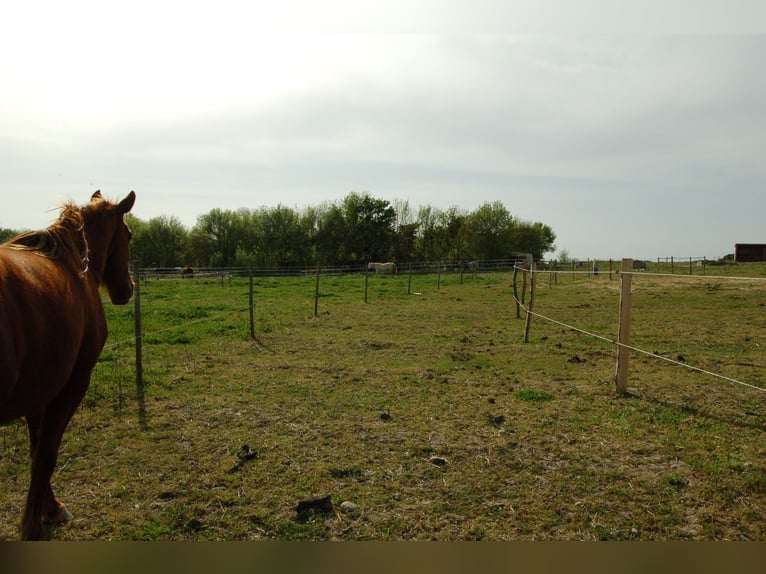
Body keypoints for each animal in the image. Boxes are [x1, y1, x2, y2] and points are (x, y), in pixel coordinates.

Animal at [0, 190, 136, 540]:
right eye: (129, 234)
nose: (128, 289)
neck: (76, 266)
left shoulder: (38, 390)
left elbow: (37, 450)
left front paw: (49, 508)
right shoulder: (73, 384)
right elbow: (46, 455)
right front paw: (33, 524)